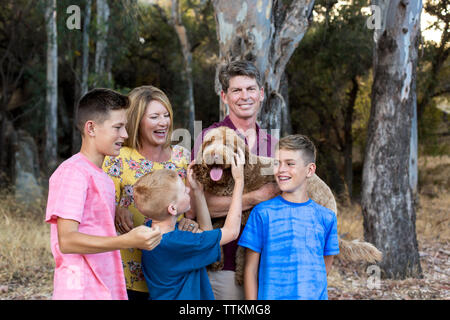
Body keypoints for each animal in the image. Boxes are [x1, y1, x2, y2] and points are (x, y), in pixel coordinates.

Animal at [192, 126, 382, 284]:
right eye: (209, 142)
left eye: (227, 144)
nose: (213, 155)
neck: (229, 179)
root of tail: (332, 202)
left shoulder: (240, 212)